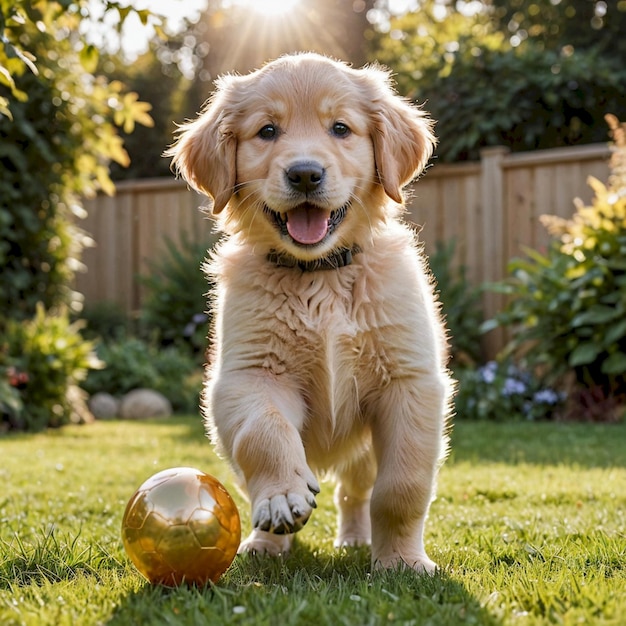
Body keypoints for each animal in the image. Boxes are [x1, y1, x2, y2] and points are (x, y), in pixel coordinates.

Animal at [166, 52, 448, 572]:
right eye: (267, 131)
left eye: (340, 128)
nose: (304, 174)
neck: (320, 273)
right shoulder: (249, 375)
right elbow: (264, 432)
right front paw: (281, 496)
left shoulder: (409, 383)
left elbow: (402, 487)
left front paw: (401, 561)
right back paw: (265, 543)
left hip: (361, 453)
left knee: (355, 493)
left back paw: (355, 539)